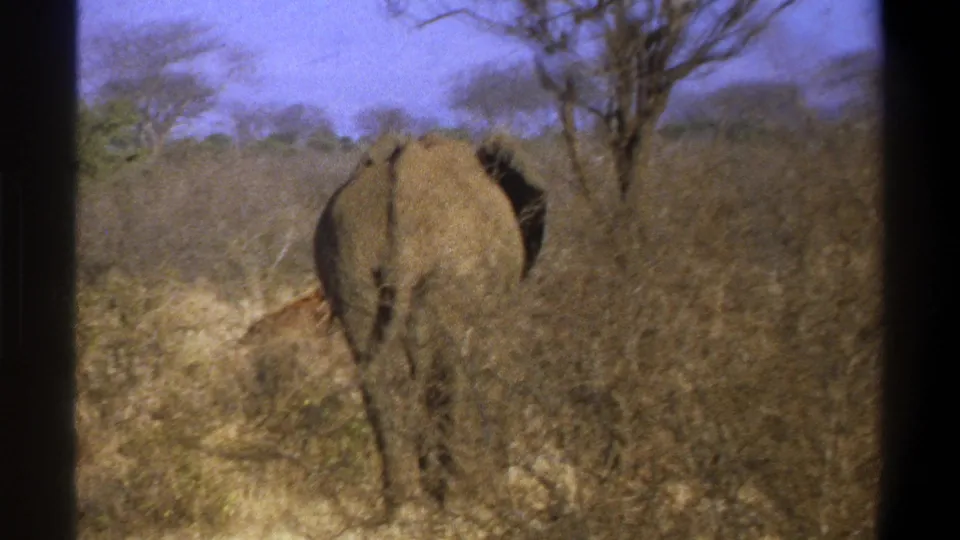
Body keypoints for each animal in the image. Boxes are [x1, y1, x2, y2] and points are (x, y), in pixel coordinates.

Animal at [313, 131, 547, 518]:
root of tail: (402, 190)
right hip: (456, 264)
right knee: (455, 368)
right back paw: (455, 501)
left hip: (348, 254)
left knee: (374, 366)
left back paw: (403, 503)